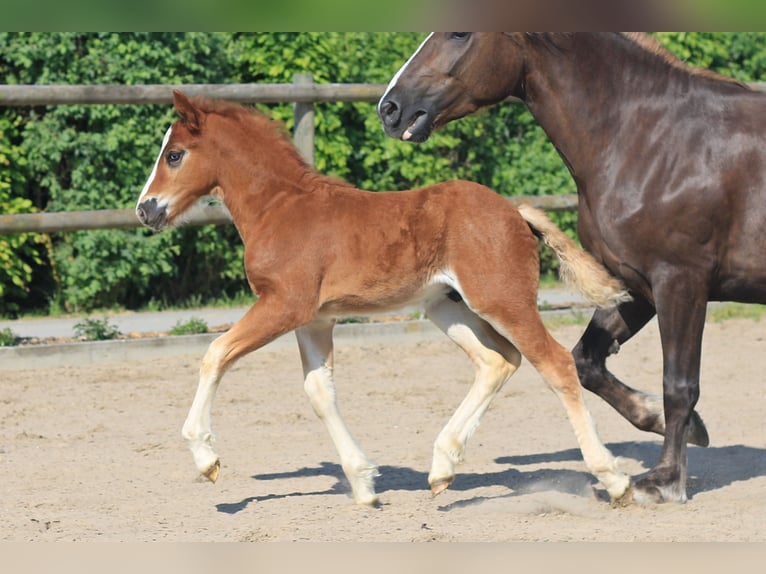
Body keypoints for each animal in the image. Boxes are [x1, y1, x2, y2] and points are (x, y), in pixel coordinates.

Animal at [135, 89, 632, 506]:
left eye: (175, 155)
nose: (145, 210)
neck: (280, 208)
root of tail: (514, 210)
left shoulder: (285, 305)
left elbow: (216, 353)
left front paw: (206, 458)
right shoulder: (314, 319)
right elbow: (319, 392)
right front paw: (363, 484)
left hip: (504, 302)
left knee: (555, 363)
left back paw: (614, 480)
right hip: (446, 307)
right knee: (498, 360)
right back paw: (441, 469)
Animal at [377, 32, 766, 504]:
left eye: (460, 34)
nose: (390, 108)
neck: (655, 140)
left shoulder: (681, 282)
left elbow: (679, 384)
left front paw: (664, 481)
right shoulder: (635, 286)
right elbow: (587, 362)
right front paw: (682, 425)